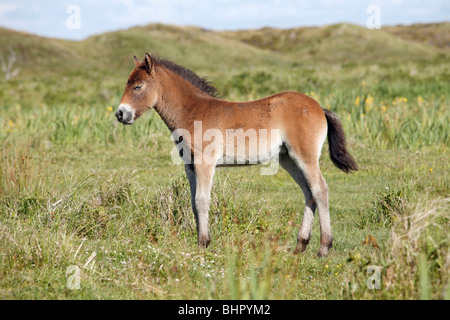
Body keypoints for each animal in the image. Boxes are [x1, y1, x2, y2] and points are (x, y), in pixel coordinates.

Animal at [117, 53, 358, 258]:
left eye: (138, 86)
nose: (120, 114)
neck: (193, 112)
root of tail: (319, 107)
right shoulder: (190, 165)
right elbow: (193, 202)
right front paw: (200, 241)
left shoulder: (205, 163)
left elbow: (202, 200)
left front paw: (204, 243)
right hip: (288, 159)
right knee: (309, 193)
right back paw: (300, 246)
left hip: (305, 157)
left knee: (320, 190)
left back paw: (323, 248)